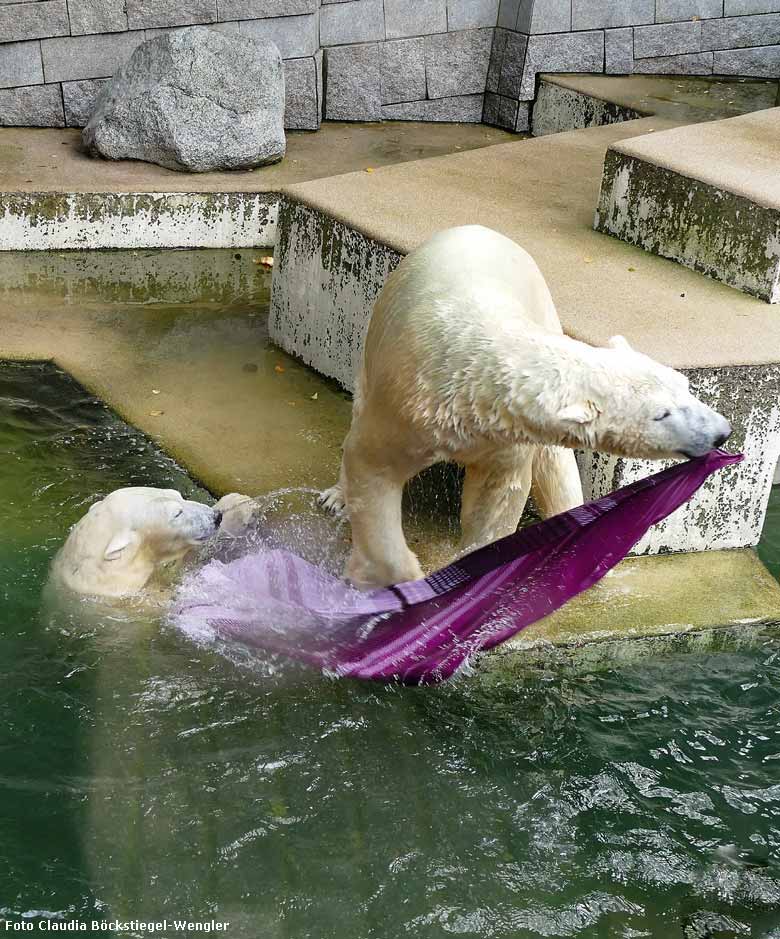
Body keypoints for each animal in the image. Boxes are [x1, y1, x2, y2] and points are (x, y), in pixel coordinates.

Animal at [322, 224, 732, 588]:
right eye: (661, 414)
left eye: (686, 385)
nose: (722, 432)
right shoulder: (408, 402)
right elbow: (372, 464)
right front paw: (400, 581)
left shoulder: (504, 436)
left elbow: (497, 495)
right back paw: (336, 497)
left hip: (544, 304)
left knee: (557, 468)